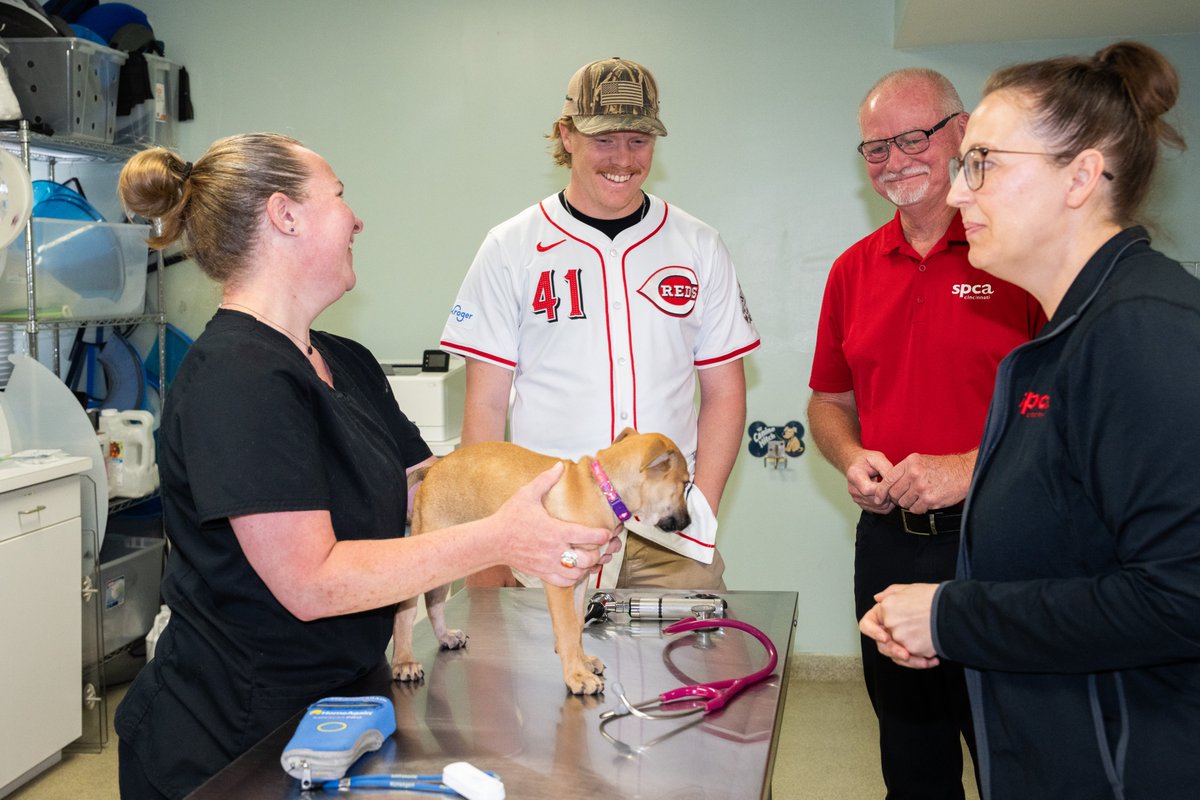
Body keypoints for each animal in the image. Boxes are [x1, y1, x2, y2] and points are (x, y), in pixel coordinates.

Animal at [393, 429, 696, 695]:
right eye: (685, 484)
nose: (688, 523)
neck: (601, 489)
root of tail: (433, 469)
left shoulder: (580, 580)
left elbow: (576, 627)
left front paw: (582, 662)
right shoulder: (559, 580)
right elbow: (566, 629)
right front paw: (576, 677)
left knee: (434, 602)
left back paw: (445, 636)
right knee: (406, 612)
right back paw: (404, 661)